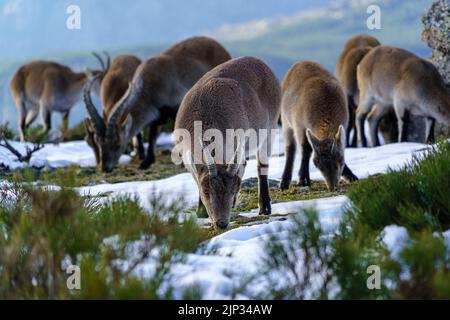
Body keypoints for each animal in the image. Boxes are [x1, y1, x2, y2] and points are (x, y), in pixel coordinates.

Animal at [173, 56, 282, 229]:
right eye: (206, 192)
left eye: (232, 191)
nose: (222, 223)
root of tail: (261, 62)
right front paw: (201, 212)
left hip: (269, 130)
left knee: (262, 166)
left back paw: (264, 207)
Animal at [280, 62, 356, 192]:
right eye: (317, 165)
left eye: (340, 160)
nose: (331, 187)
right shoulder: (299, 125)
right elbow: (305, 149)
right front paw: (303, 179)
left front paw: (351, 176)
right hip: (286, 122)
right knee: (290, 149)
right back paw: (284, 182)